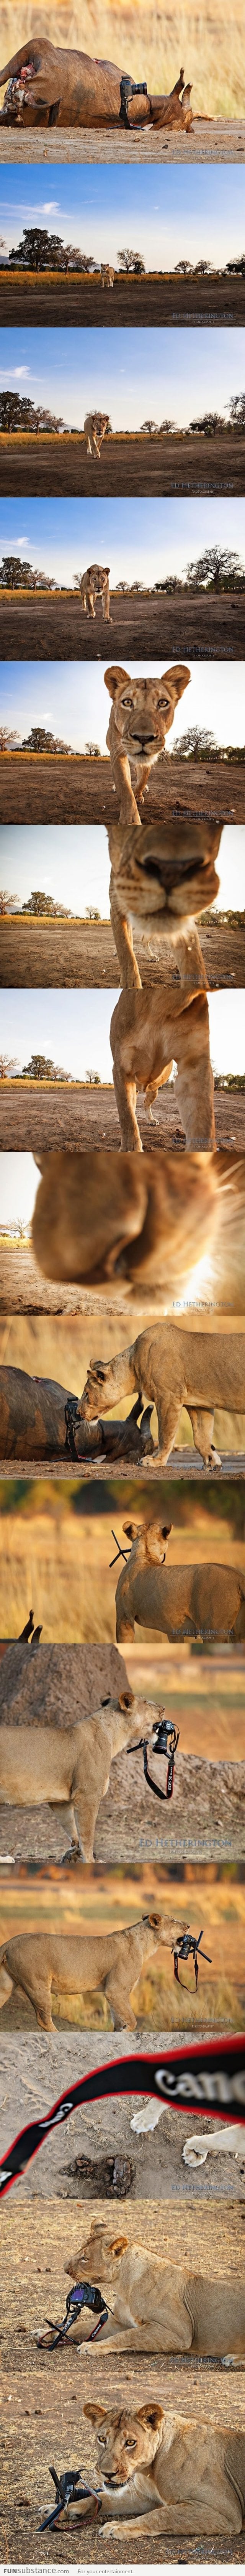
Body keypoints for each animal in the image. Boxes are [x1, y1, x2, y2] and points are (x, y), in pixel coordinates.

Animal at [83, 2390, 245, 2535]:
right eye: (102, 2439)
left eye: (130, 2443)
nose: (107, 2474)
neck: (150, 2471)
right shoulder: (146, 2498)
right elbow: (101, 2499)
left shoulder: (225, 2514)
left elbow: (162, 2515)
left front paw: (117, 2527)